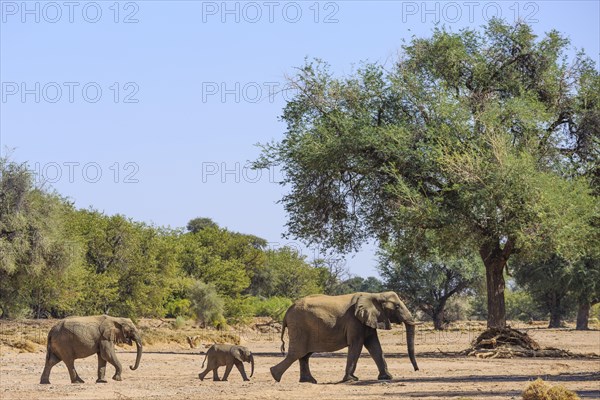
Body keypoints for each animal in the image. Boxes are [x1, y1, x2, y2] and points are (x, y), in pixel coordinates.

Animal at [270, 292, 420, 382]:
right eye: (397, 306)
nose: (416, 370)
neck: (375, 295)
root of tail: (287, 312)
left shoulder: (367, 320)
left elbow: (374, 346)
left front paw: (387, 377)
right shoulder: (354, 321)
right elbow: (357, 345)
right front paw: (352, 379)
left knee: (304, 355)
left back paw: (309, 381)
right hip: (299, 327)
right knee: (297, 353)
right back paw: (275, 376)